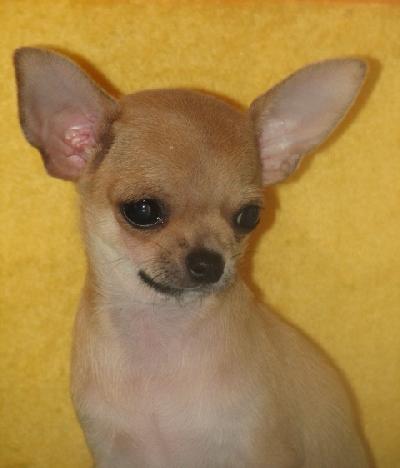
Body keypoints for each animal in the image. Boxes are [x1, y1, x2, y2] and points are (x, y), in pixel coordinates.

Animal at [14, 47, 369, 467]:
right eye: (143, 210)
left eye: (249, 216)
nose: (209, 263)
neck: (160, 335)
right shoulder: (116, 453)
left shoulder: (261, 449)